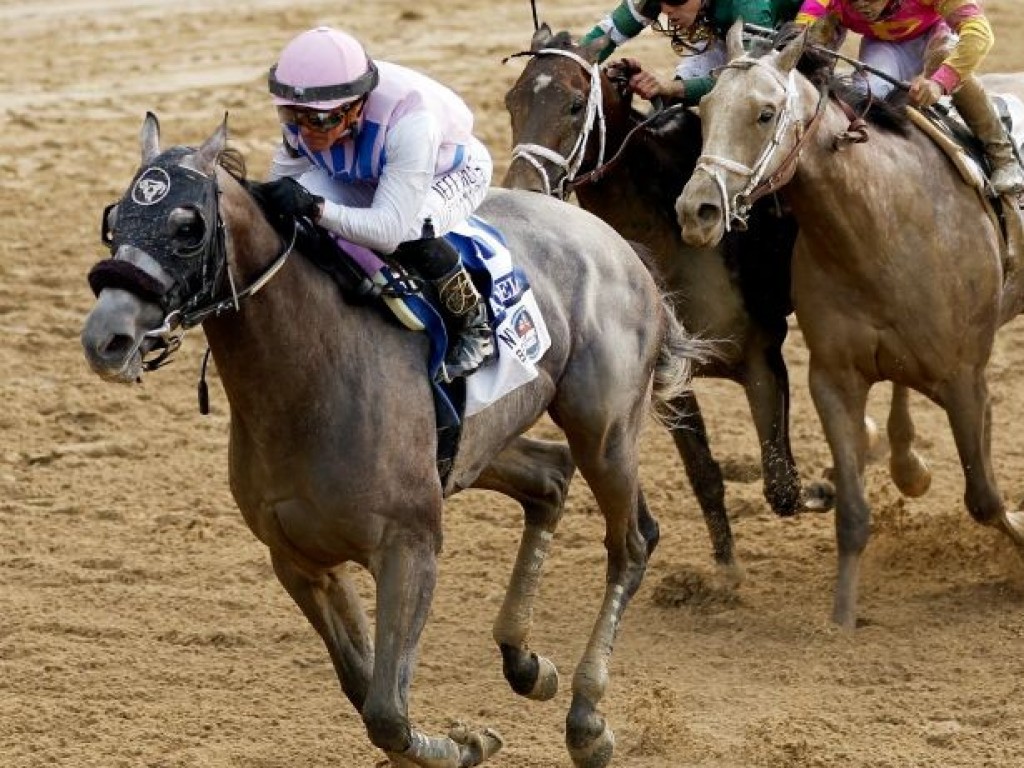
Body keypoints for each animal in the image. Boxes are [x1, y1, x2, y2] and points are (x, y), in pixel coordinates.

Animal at [79, 112, 708, 768]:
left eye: (187, 227)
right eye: (113, 221)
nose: (106, 339)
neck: (309, 374)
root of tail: (615, 241)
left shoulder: (410, 547)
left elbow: (385, 711)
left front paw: (465, 743)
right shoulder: (300, 561)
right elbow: (364, 691)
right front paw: (464, 738)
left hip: (603, 427)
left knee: (631, 540)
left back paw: (587, 720)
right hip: (475, 448)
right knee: (551, 479)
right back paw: (526, 662)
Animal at [675, 24, 1024, 626]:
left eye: (765, 113)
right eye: (705, 109)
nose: (696, 210)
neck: (880, 225)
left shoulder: (964, 377)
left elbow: (985, 497)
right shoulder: (833, 379)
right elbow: (854, 513)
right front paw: (840, 620)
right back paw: (906, 460)